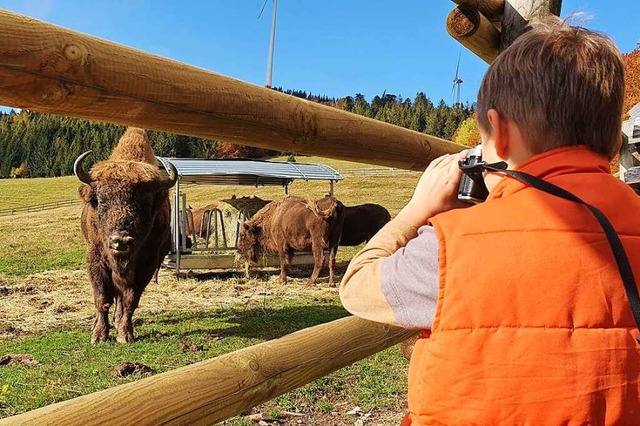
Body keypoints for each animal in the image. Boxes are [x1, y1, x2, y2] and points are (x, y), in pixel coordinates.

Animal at [75, 128, 178, 344]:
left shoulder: (146, 264)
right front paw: (99, 336)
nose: (120, 241)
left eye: (145, 203)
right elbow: (102, 298)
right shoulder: (95, 258)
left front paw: (125, 334)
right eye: (101, 200)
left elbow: (130, 299)